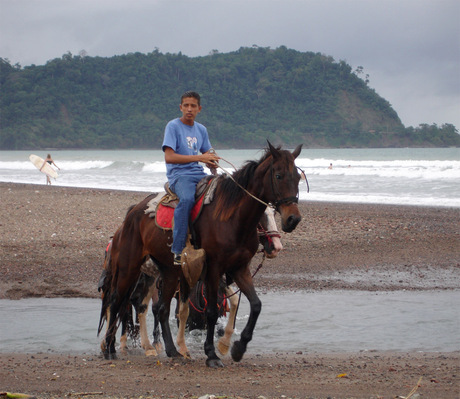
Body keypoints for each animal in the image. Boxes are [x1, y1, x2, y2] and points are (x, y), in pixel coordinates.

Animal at [101, 142, 302, 368]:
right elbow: (211, 311)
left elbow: (255, 305)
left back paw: (170, 350)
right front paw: (212, 354)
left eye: (298, 177)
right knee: (117, 302)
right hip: (130, 267)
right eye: (278, 175)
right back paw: (111, 348)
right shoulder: (213, 270)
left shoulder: (238, 268)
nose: (293, 219)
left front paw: (237, 348)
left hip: (168, 272)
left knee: (159, 308)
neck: (231, 217)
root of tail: (130, 216)